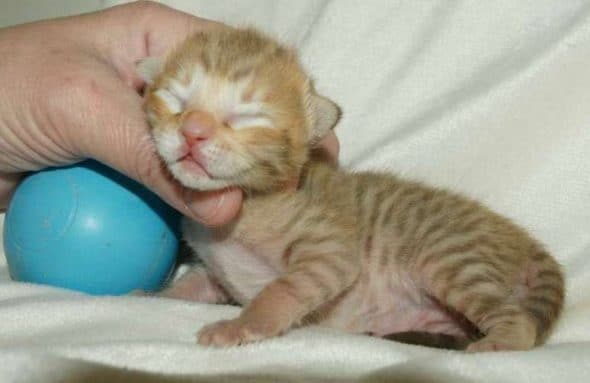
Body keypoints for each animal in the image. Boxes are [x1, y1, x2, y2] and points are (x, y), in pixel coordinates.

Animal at [138, 27, 564, 352]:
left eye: (248, 117)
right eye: (175, 98)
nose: (193, 131)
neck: (249, 201)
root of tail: (520, 237)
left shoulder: (330, 251)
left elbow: (281, 289)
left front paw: (242, 325)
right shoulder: (212, 272)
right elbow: (191, 286)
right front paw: (150, 298)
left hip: (451, 259)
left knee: (519, 322)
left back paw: (496, 344)